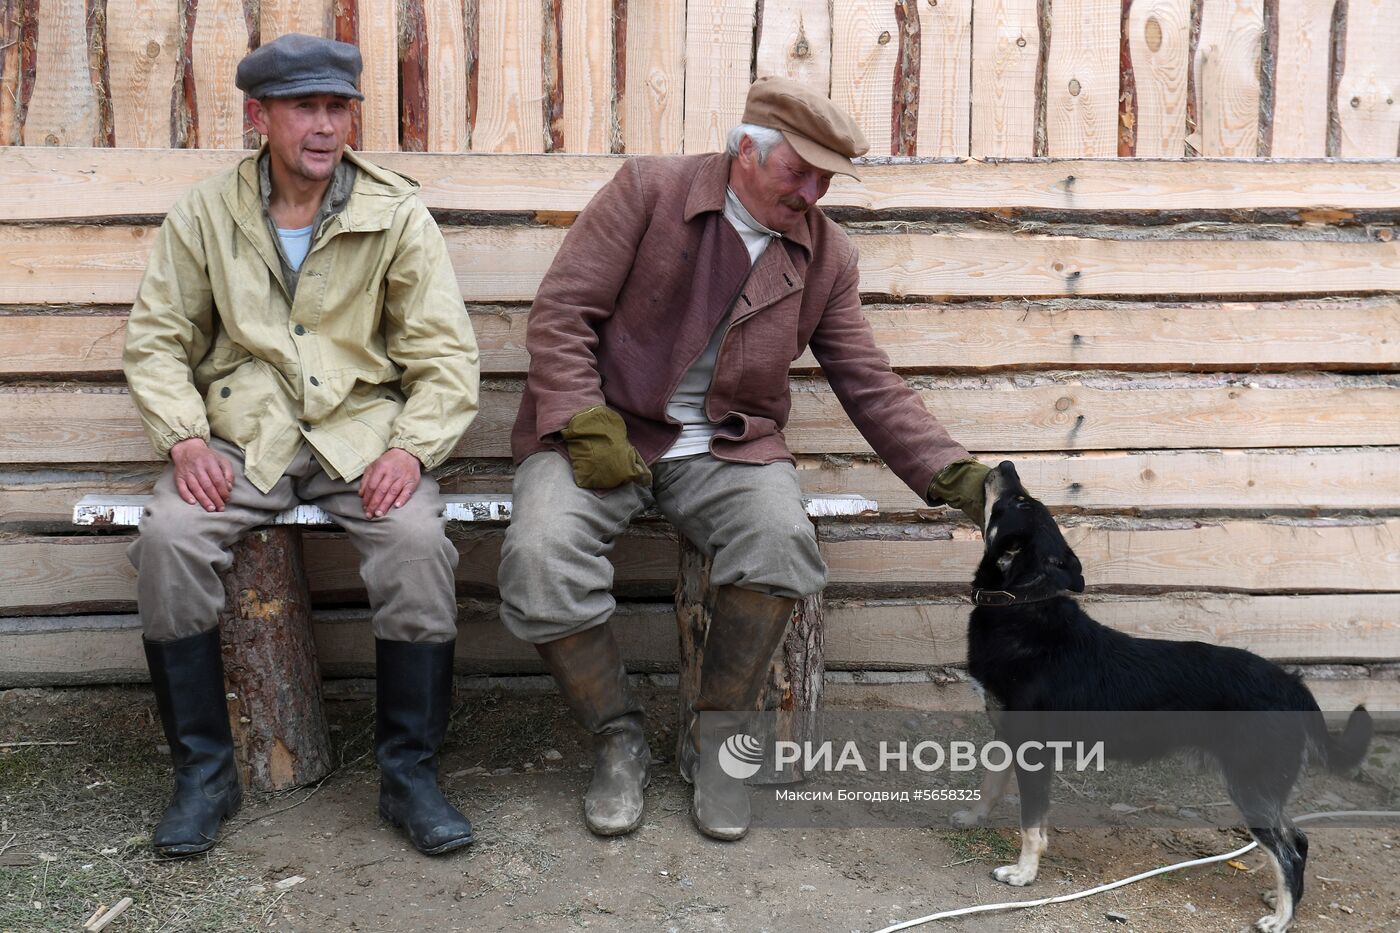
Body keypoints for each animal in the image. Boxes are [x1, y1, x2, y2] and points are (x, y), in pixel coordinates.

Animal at [957, 462, 1372, 924]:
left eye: (1017, 501)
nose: (1006, 465)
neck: (1021, 603)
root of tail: (1293, 686)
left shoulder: (1034, 751)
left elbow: (1031, 824)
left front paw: (1023, 874)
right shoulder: (1005, 733)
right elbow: (991, 784)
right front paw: (974, 817)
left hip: (1250, 786)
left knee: (1288, 851)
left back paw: (1281, 918)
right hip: (1263, 786)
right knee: (1298, 838)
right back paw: (1281, 899)